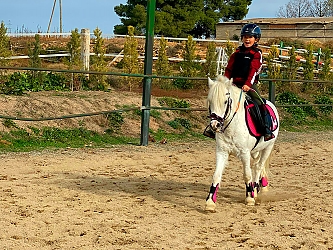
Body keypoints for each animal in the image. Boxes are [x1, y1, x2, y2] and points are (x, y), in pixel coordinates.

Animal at [205, 75, 278, 210]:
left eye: (225, 101)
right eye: (210, 101)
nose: (215, 125)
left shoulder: (244, 153)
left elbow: (247, 175)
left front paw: (249, 198)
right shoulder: (222, 152)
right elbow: (216, 175)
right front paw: (210, 202)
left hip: (268, 147)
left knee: (258, 166)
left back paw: (256, 189)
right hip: (255, 151)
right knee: (257, 165)